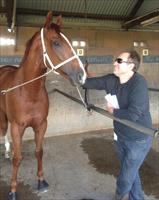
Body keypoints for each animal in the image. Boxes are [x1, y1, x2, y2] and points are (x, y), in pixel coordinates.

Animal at [0, 11, 86, 200]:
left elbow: (39, 152)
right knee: (2, 131)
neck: (28, 91)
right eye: (56, 42)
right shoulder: (17, 127)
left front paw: (41, 181)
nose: (81, 75)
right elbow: (18, 158)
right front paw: (12, 190)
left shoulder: (41, 125)